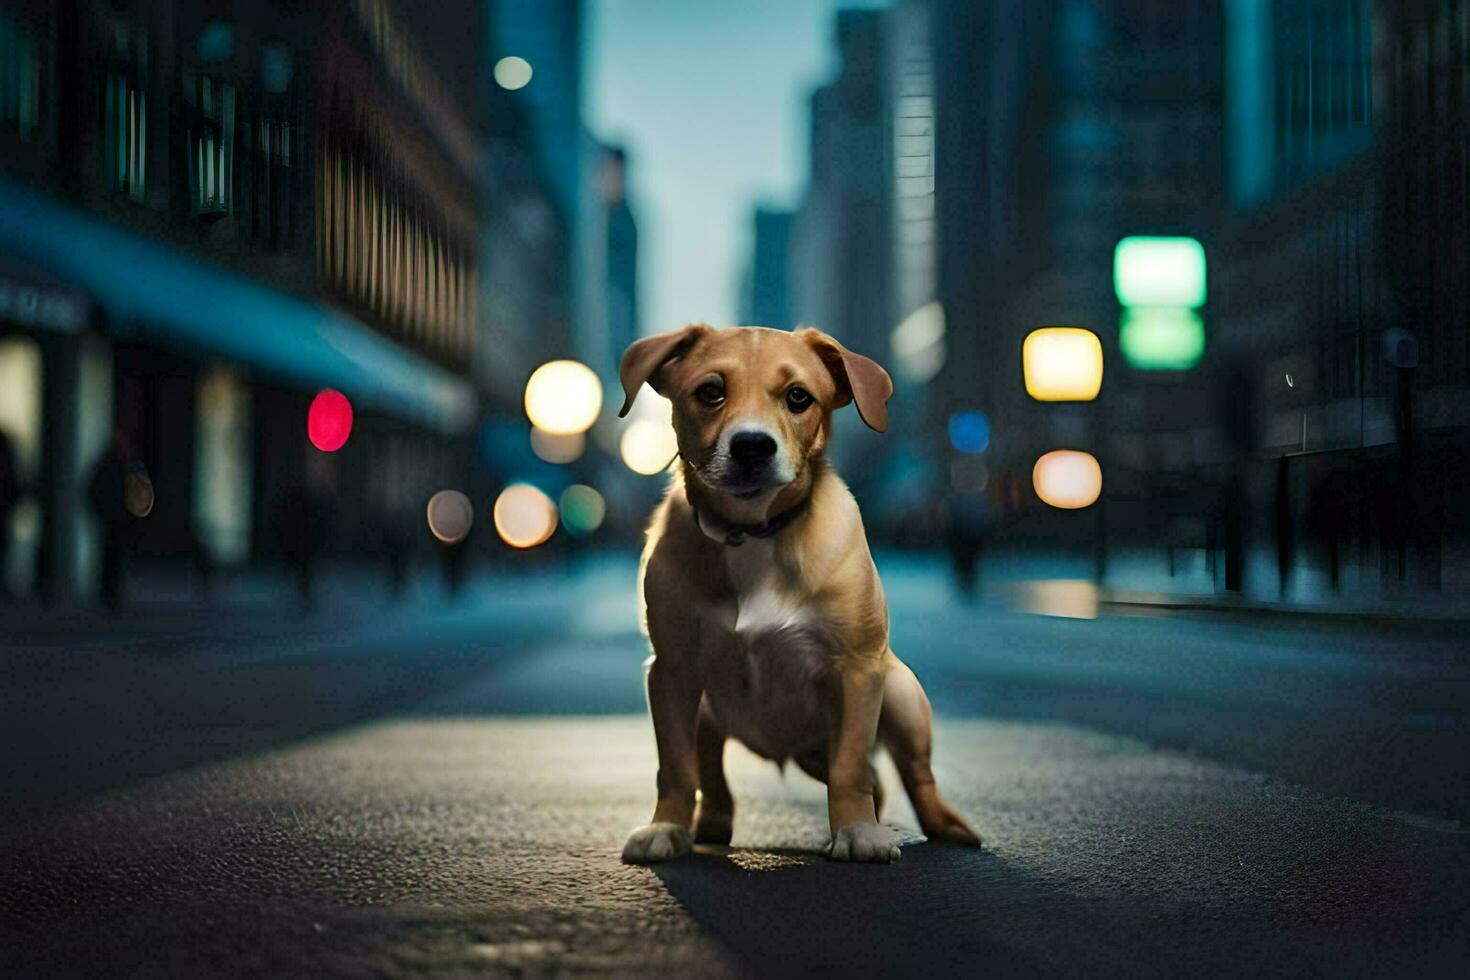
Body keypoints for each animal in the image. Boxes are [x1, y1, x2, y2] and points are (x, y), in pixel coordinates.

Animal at [614, 326, 981, 863]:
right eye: (710, 391)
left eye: (798, 397)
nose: (751, 446)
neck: (753, 534)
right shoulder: (671, 671)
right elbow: (677, 768)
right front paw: (666, 827)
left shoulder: (857, 670)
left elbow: (851, 768)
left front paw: (857, 832)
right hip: (708, 714)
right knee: (715, 776)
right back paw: (711, 824)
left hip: (901, 696)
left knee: (910, 775)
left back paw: (940, 825)